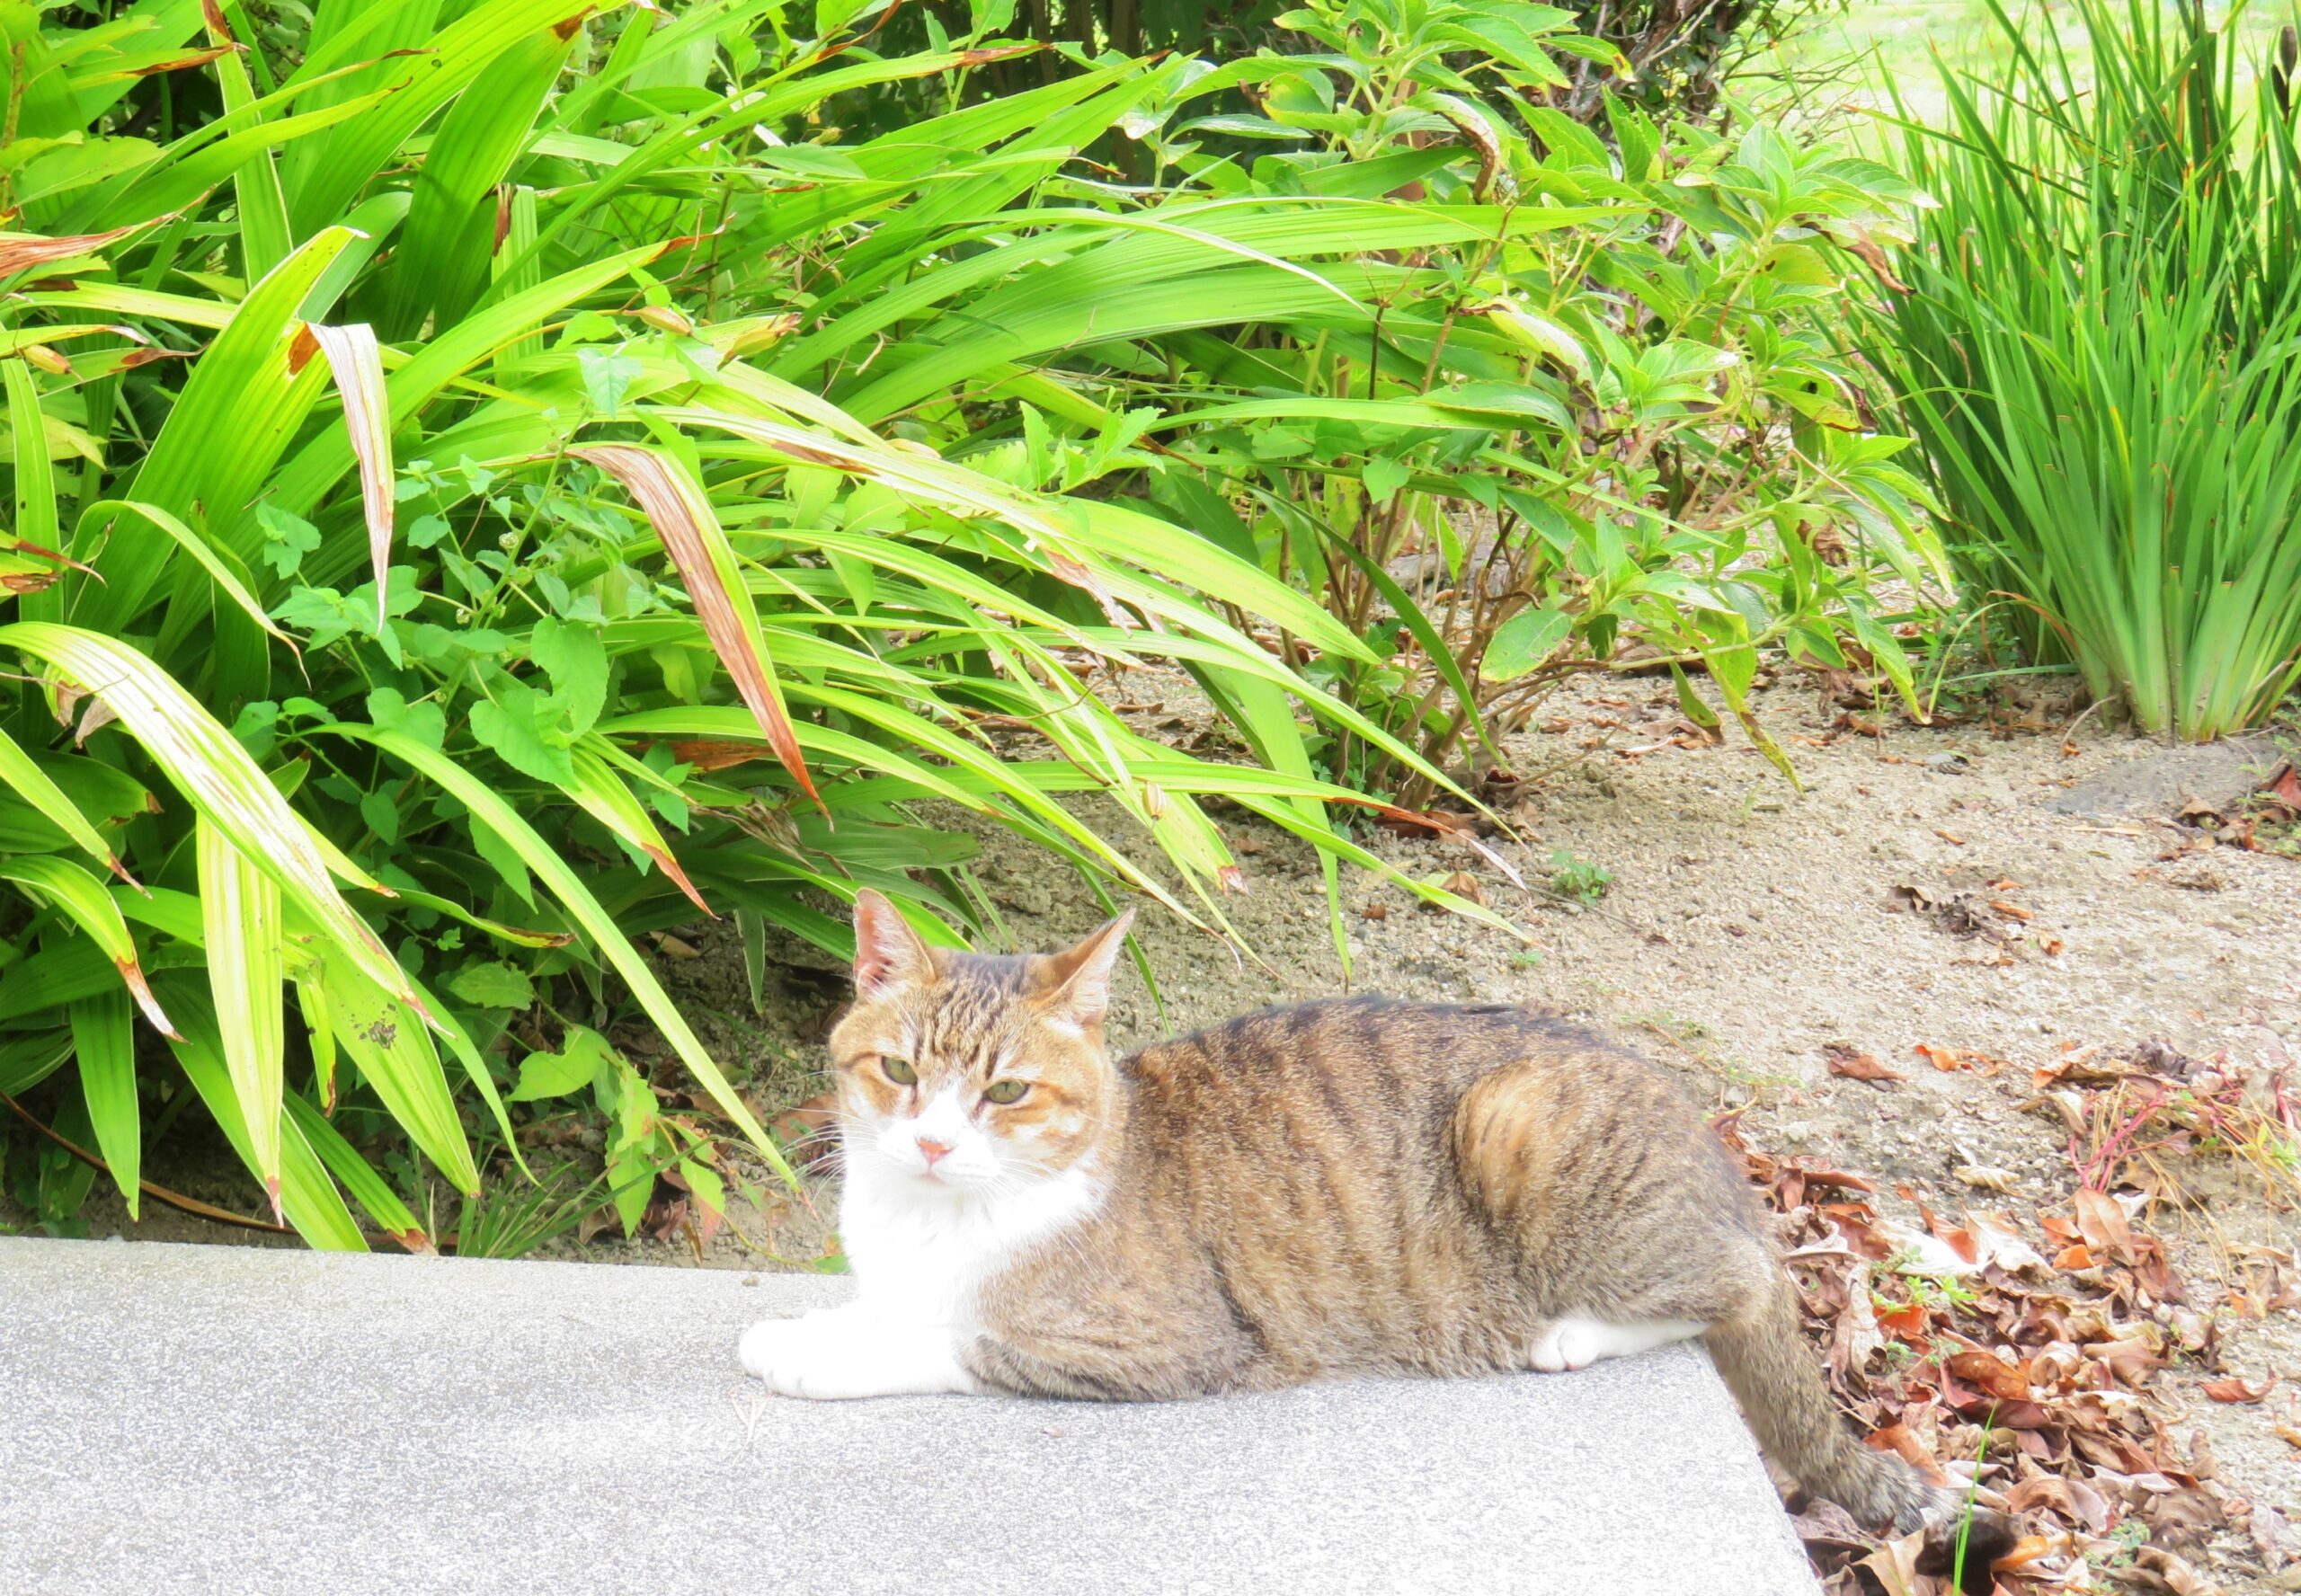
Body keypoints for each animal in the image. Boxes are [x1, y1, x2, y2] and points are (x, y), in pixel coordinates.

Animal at [741, 891, 2015, 1573]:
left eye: (1004, 1094)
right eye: (899, 1073)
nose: (931, 1143)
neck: (933, 1216)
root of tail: (1710, 1141)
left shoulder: (1159, 1341)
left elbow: (951, 1335)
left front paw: (812, 1353)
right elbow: (884, 1304)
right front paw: (815, 1320)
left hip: (1517, 1122)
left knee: (1735, 1284)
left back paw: (1568, 1334)